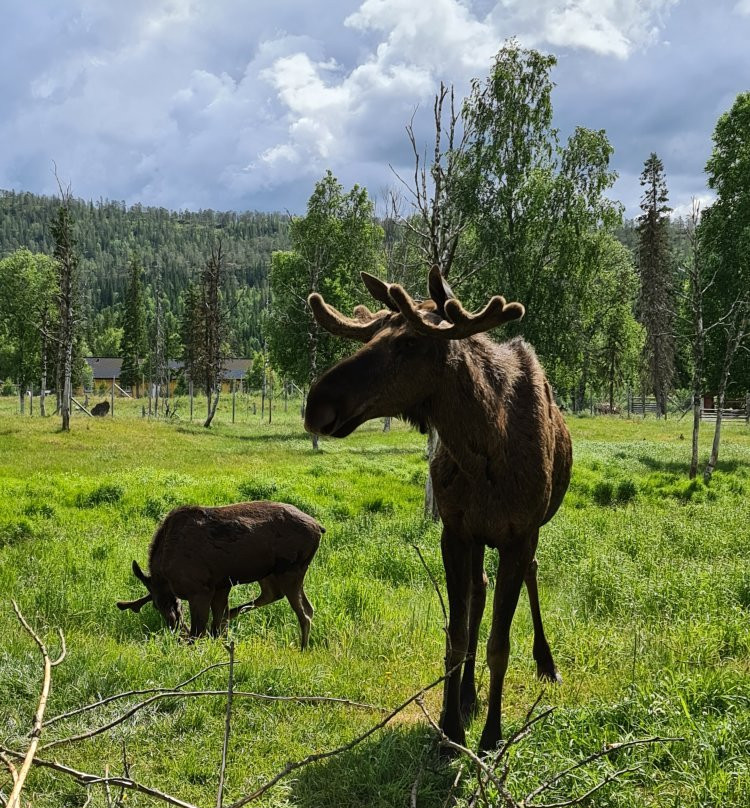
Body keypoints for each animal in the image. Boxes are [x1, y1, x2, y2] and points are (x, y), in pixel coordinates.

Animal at [117, 502, 324, 648]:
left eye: (164, 603)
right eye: (155, 605)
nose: (173, 626)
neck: (165, 576)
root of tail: (320, 527)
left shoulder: (200, 589)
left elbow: (198, 632)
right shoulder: (222, 585)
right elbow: (216, 622)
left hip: (291, 569)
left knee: (304, 612)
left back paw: (303, 648)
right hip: (268, 572)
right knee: (279, 596)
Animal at [302, 266, 572, 752]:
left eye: (410, 342)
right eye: (371, 336)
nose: (317, 403)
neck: (486, 450)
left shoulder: (520, 533)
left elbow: (500, 644)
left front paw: (491, 735)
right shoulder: (456, 530)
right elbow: (457, 634)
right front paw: (450, 725)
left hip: (530, 532)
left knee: (531, 573)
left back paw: (546, 662)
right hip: (480, 537)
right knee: (479, 592)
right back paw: (467, 694)